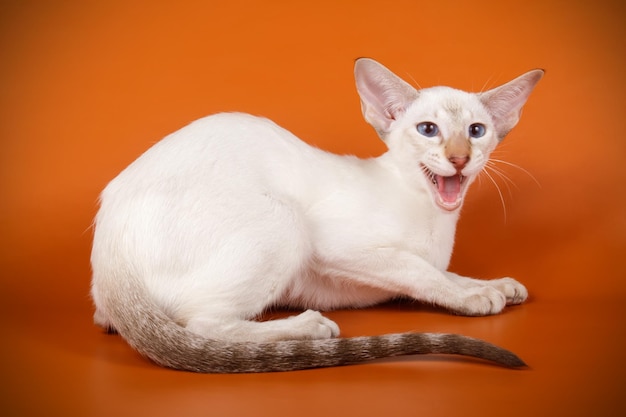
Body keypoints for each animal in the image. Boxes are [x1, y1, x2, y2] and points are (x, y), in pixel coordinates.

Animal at [89, 57, 540, 370]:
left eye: (477, 131)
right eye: (428, 130)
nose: (459, 158)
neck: (432, 213)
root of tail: (109, 253)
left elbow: (444, 272)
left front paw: (495, 285)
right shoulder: (338, 246)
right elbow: (421, 271)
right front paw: (474, 297)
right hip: (286, 221)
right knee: (202, 323)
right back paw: (306, 329)